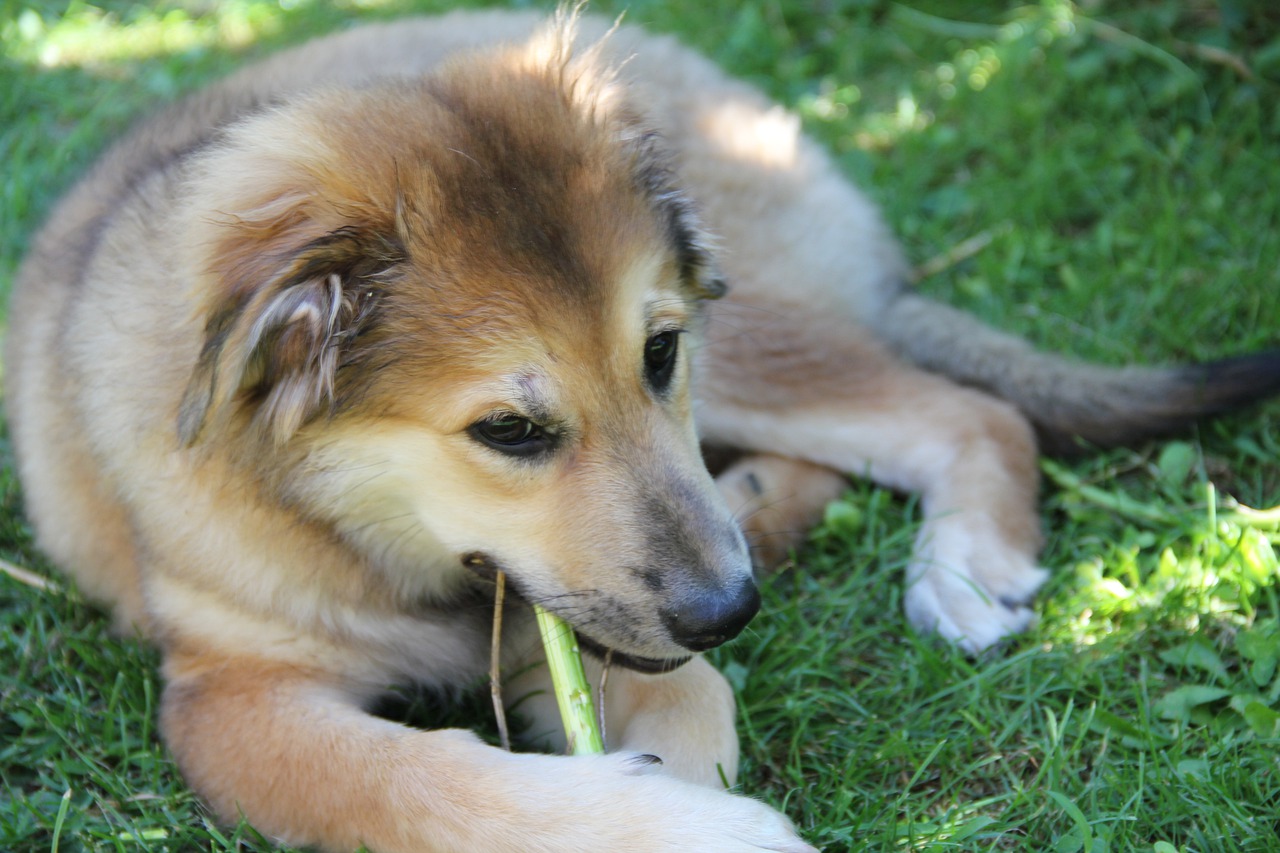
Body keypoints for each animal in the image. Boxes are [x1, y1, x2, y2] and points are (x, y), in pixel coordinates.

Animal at [10, 8, 1280, 850]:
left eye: (655, 354)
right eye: (508, 429)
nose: (728, 611)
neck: (357, 530)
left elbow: (689, 703)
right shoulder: (232, 694)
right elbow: (411, 783)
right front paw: (694, 824)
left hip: (751, 336)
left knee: (968, 408)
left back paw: (964, 564)